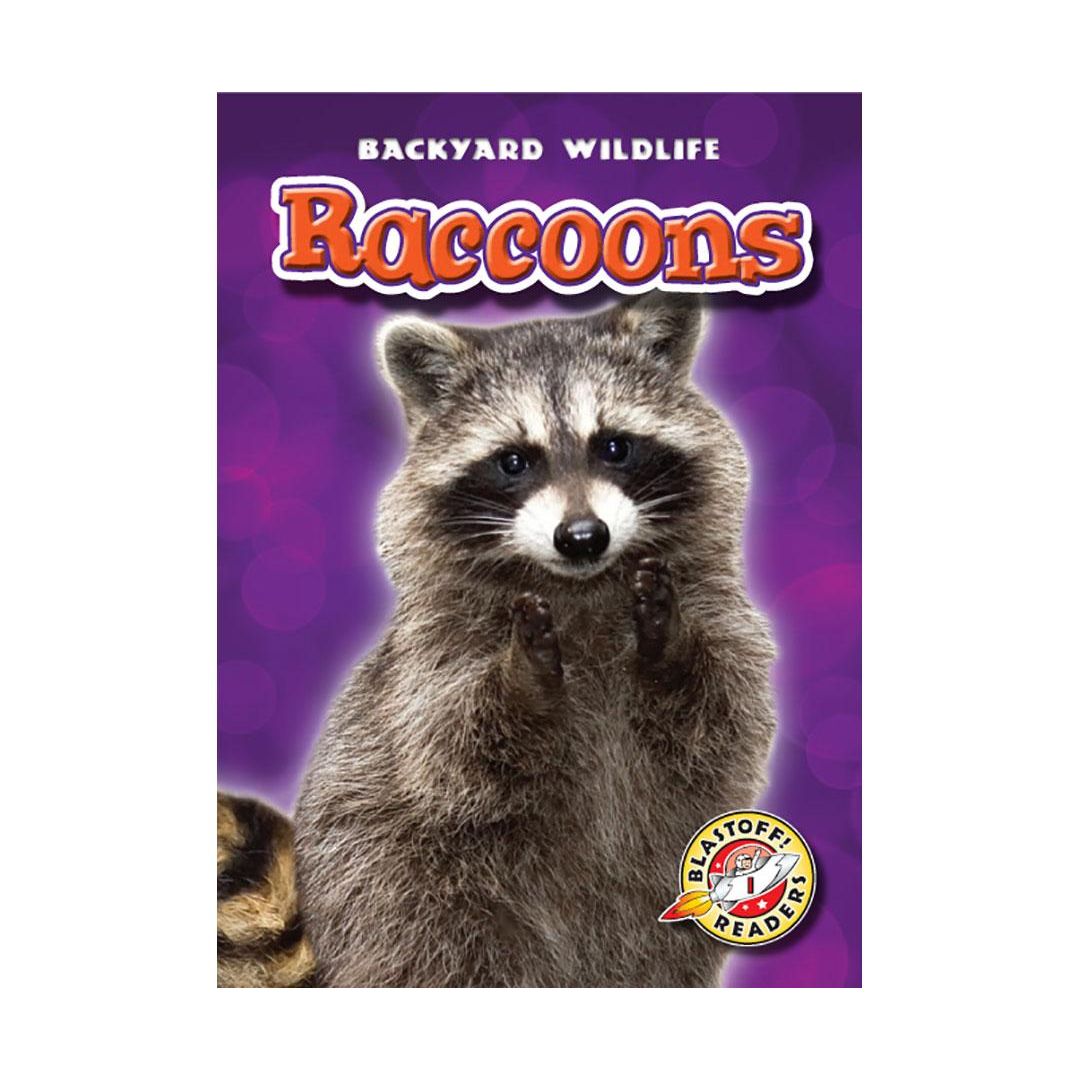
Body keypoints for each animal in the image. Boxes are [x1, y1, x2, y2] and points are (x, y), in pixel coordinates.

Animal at [292, 293, 777, 987]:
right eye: (515, 461)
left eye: (614, 446)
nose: (582, 537)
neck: (581, 588)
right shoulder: (432, 656)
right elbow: (451, 748)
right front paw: (523, 678)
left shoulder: (721, 611)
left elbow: (722, 710)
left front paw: (669, 644)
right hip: (400, 887)